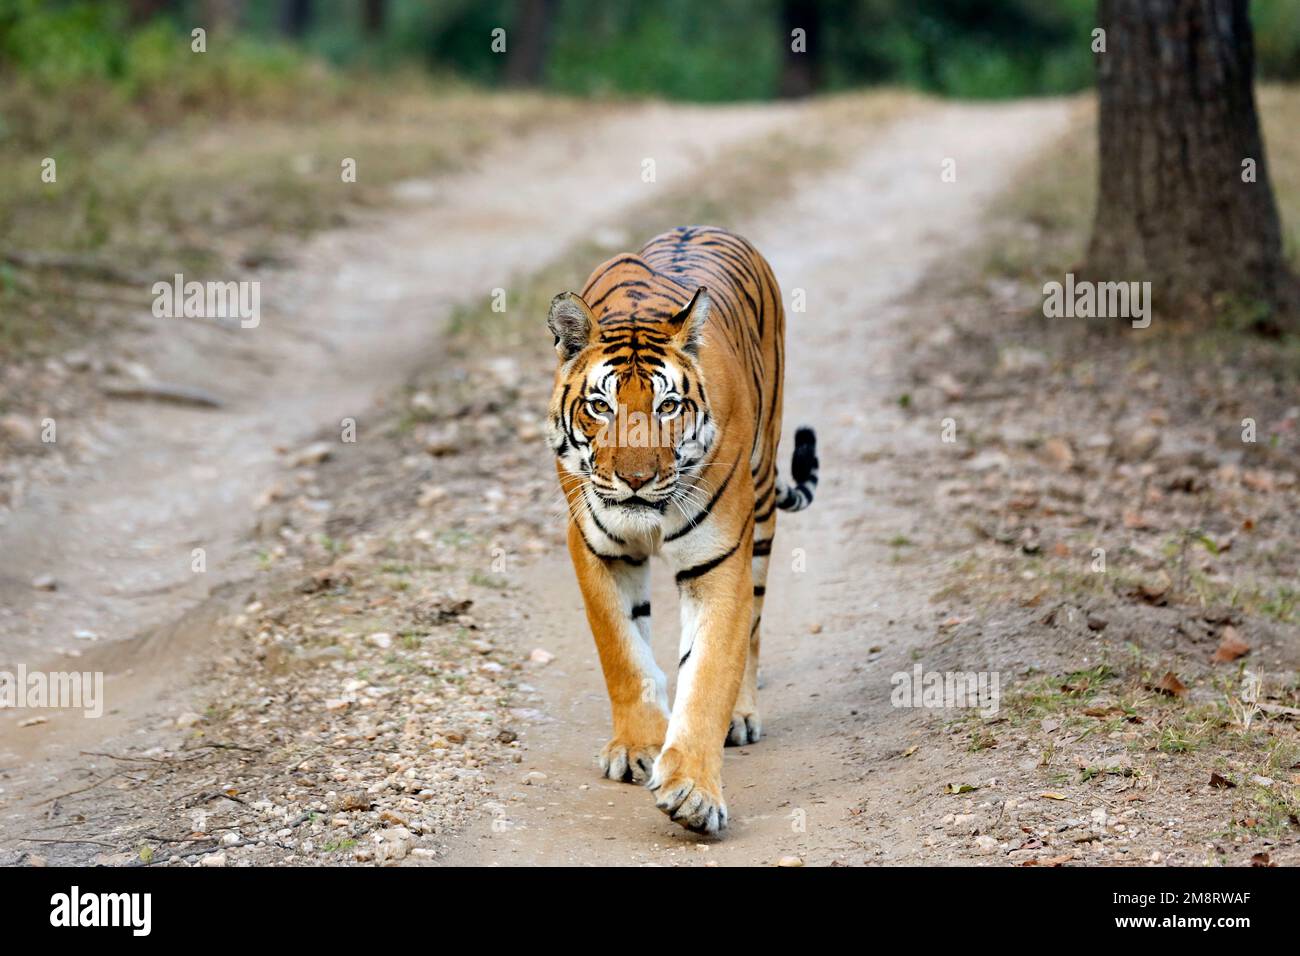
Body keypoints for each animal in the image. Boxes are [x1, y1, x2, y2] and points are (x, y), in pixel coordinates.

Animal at [546, 226, 816, 837]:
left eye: (668, 406)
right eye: (600, 406)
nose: (636, 479)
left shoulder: (719, 561)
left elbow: (710, 669)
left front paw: (693, 790)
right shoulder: (595, 549)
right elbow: (623, 653)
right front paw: (637, 747)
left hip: (762, 503)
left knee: (753, 626)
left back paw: (741, 716)